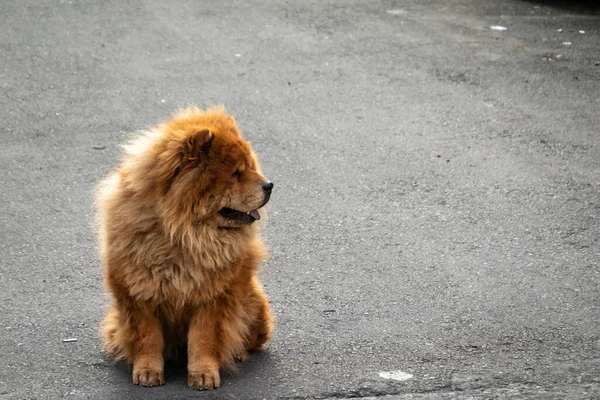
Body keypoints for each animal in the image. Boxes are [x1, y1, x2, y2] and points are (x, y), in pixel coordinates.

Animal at [95, 106, 276, 390]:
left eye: (250, 167)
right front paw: (147, 372)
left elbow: (203, 338)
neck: (182, 235)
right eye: (235, 174)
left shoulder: (213, 295)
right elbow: (147, 336)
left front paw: (203, 375)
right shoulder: (138, 293)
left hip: (254, 302)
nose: (269, 185)